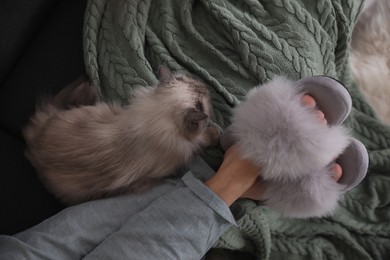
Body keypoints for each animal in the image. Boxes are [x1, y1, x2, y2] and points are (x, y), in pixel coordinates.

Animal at [24, 66, 219, 204]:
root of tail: (35, 140)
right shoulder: (183, 152)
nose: (208, 88)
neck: (156, 119)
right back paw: (89, 87)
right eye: (206, 100)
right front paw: (216, 133)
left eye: (201, 87)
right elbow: (203, 140)